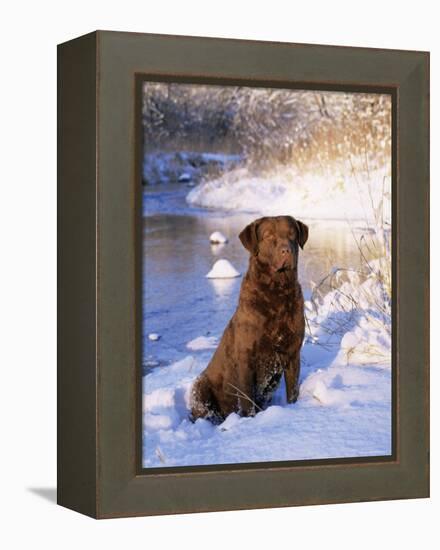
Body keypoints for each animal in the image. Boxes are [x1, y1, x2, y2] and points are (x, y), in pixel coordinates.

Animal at [190, 216, 310, 422]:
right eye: (268, 236)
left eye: (292, 234)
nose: (286, 250)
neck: (278, 293)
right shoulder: (246, 358)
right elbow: (247, 399)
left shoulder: (292, 353)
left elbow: (293, 391)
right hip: (199, 386)